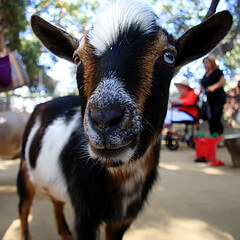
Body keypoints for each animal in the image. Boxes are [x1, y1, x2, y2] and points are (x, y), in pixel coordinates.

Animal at [17, 0, 233, 239]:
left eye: (169, 56)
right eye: (76, 58)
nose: (104, 119)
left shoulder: (123, 219)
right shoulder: (85, 215)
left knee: (56, 202)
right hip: (24, 170)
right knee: (23, 208)